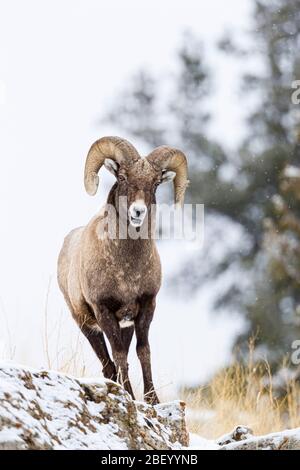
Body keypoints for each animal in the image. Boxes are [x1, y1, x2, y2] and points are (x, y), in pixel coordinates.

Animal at [57, 136, 188, 404]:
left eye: (156, 183)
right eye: (123, 177)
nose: (138, 212)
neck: (127, 271)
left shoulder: (145, 307)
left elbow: (143, 352)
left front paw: (152, 400)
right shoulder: (104, 311)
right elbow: (118, 357)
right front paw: (130, 396)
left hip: (123, 326)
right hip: (87, 326)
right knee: (108, 365)